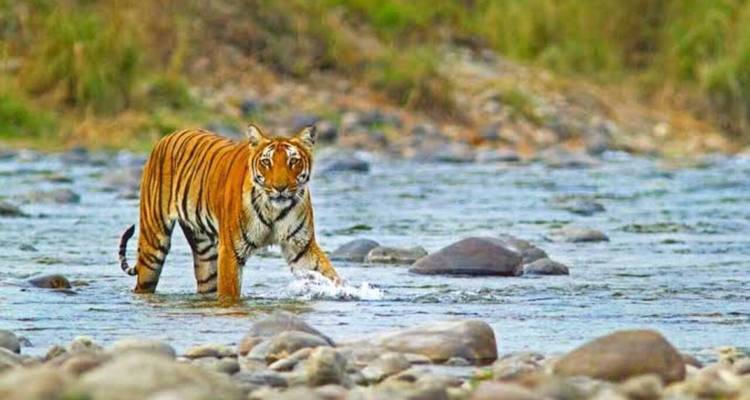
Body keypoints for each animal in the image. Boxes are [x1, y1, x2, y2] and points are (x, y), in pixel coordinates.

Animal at [118, 124, 341, 302]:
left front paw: (344, 292)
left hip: (205, 253)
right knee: (143, 282)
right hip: (153, 244)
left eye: (293, 161)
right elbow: (229, 293)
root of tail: (166, 136)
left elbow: (328, 274)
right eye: (266, 162)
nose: (280, 188)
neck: (273, 210)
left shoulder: (301, 246)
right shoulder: (231, 251)